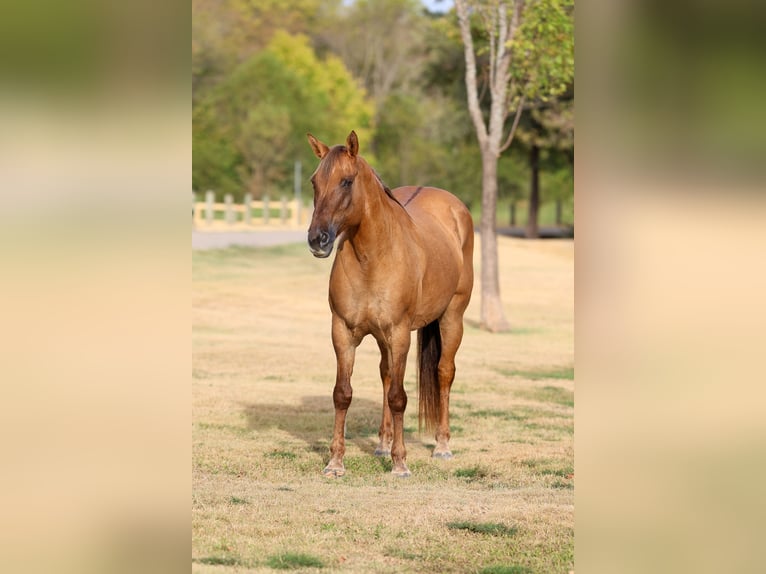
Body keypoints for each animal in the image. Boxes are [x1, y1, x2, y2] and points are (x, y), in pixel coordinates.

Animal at [306, 130, 474, 478]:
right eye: (315, 181)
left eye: (346, 181)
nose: (317, 239)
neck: (372, 258)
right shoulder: (343, 332)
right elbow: (342, 393)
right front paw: (335, 462)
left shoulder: (399, 334)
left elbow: (399, 397)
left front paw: (400, 463)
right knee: (385, 374)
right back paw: (382, 444)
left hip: (452, 318)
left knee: (444, 372)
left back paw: (442, 446)